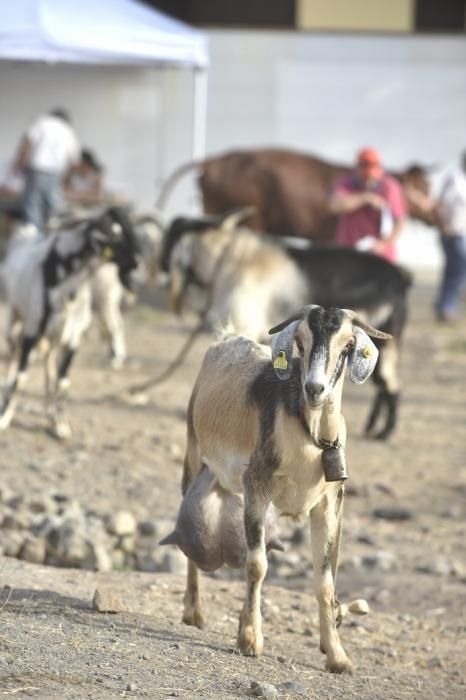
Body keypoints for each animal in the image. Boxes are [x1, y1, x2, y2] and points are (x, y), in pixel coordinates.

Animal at [0, 206, 138, 438]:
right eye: (112, 233)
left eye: (128, 232)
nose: (136, 262)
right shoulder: (32, 332)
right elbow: (22, 378)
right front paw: (4, 417)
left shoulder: (72, 339)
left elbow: (62, 383)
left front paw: (60, 424)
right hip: (14, 319)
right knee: (13, 356)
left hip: (54, 339)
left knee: (49, 370)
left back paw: (49, 412)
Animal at [161, 219, 412, 438]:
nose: (164, 268)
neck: (234, 259)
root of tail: (401, 279)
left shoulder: (246, 324)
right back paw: (373, 428)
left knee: (390, 383)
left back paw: (385, 433)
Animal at [166, 304, 392, 672]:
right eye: (299, 341)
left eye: (348, 346)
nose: (315, 389)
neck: (309, 432)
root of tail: (226, 338)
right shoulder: (257, 483)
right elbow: (257, 566)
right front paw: (250, 640)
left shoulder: (328, 502)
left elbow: (325, 581)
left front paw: (337, 655)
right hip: (194, 452)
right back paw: (194, 612)